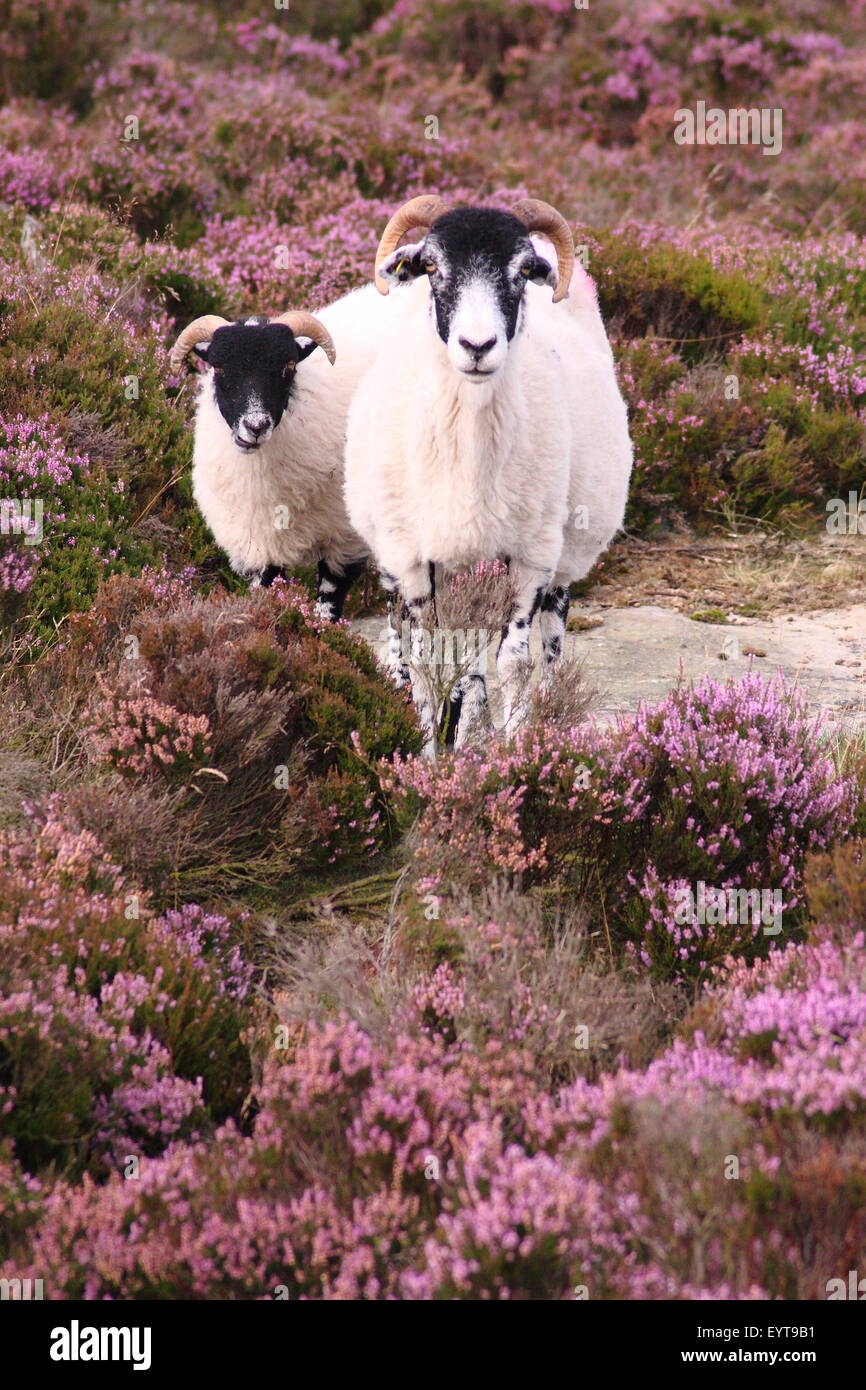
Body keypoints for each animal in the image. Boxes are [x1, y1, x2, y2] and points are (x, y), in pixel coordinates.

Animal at [170, 287, 391, 619]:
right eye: (218, 367)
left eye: (288, 365)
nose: (255, 426)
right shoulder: (258, 542)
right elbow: (265, 589)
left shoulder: (345, 537)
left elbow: (329, 597)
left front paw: (321, 629)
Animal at [341, 195, 633, 750]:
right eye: (431, 267)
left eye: (522, 271)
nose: (477, 346)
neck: (469, 454)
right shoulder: (414, 557)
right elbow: (428, 659)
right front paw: (429, 754)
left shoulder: (531, 555)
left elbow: (515, 661)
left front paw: (517, 748)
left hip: (558, 557)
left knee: (550, 645)